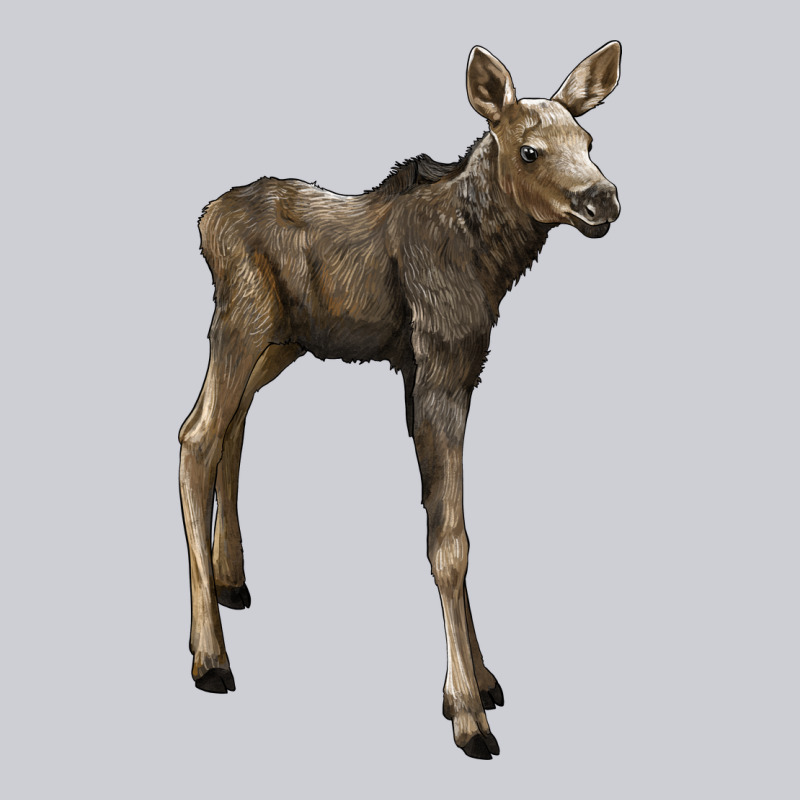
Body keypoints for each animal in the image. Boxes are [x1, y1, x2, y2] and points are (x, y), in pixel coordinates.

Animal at [179, 42, 622, 760]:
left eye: (587, 140)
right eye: (530, 150)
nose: (601, 197)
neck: (487, 261)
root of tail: (204, 217)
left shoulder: (451, 370)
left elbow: (447, 520)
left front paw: (479, 681)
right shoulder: (438, 365)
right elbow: (450, 540)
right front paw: (468, 713)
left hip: (282, 339)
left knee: (232, 425)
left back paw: (230, 581)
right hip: (242, 319)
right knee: (196, 435)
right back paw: (210, 657)